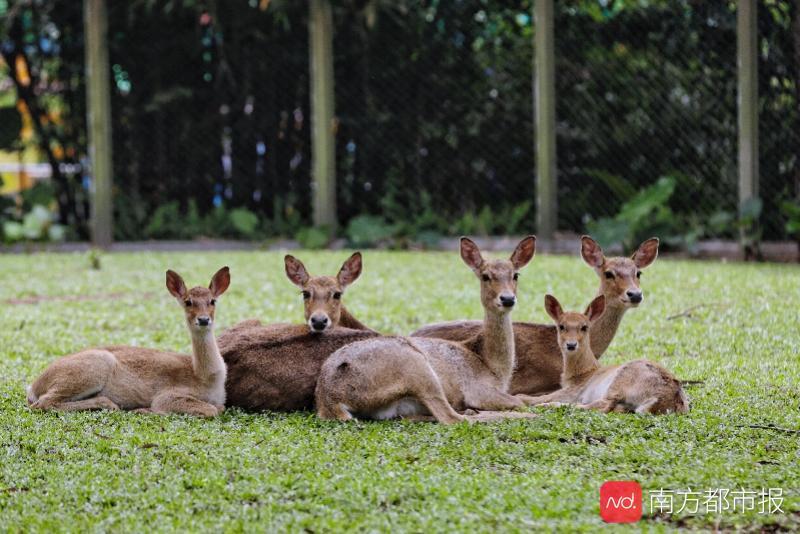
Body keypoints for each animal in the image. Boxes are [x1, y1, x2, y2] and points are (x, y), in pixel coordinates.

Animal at [25, 268, 231, 418]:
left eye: (212, 301)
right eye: (188, 302)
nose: (203, 320)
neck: (206, 377)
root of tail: (33, 387)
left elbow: (219, 408)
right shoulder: (168, 395)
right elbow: (210, 410)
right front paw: (146, 410)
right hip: (90, 368)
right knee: (43, 402)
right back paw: (110, 404)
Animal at [312, 237, 536, 426]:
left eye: (515, 275)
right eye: (485, 276)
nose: (507, 299)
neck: (493, 368)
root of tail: (330, 401)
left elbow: (523, 397)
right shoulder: (477, 389)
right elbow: (518, 401)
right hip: (416, 367)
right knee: (452, 418)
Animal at [520, 296, 692, 416]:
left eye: (584, 327)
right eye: (561, 326)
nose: (571, 345)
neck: (582, 374)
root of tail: (665, 400)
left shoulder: (575, 390)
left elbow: (542, 396)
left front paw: (524, 399)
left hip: (620, 381)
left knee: (603, 405)